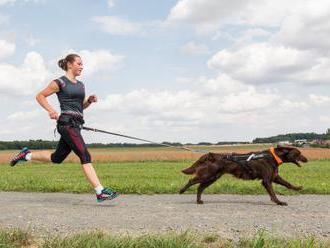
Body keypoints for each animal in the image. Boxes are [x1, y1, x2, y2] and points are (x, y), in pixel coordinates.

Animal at [179, 145, 308, 205]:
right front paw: (279, 202)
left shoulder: (274, 177)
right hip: (207, 175)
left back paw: (199, 201)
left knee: (200, 187)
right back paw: (181, 190)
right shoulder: (266, 180)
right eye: (299, 153)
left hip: (212, 177)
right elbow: (273, 193)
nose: (307, 159)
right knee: (191, 181)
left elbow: (287, 184)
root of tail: (210, 155)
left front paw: (298, 188)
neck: (272, 156)